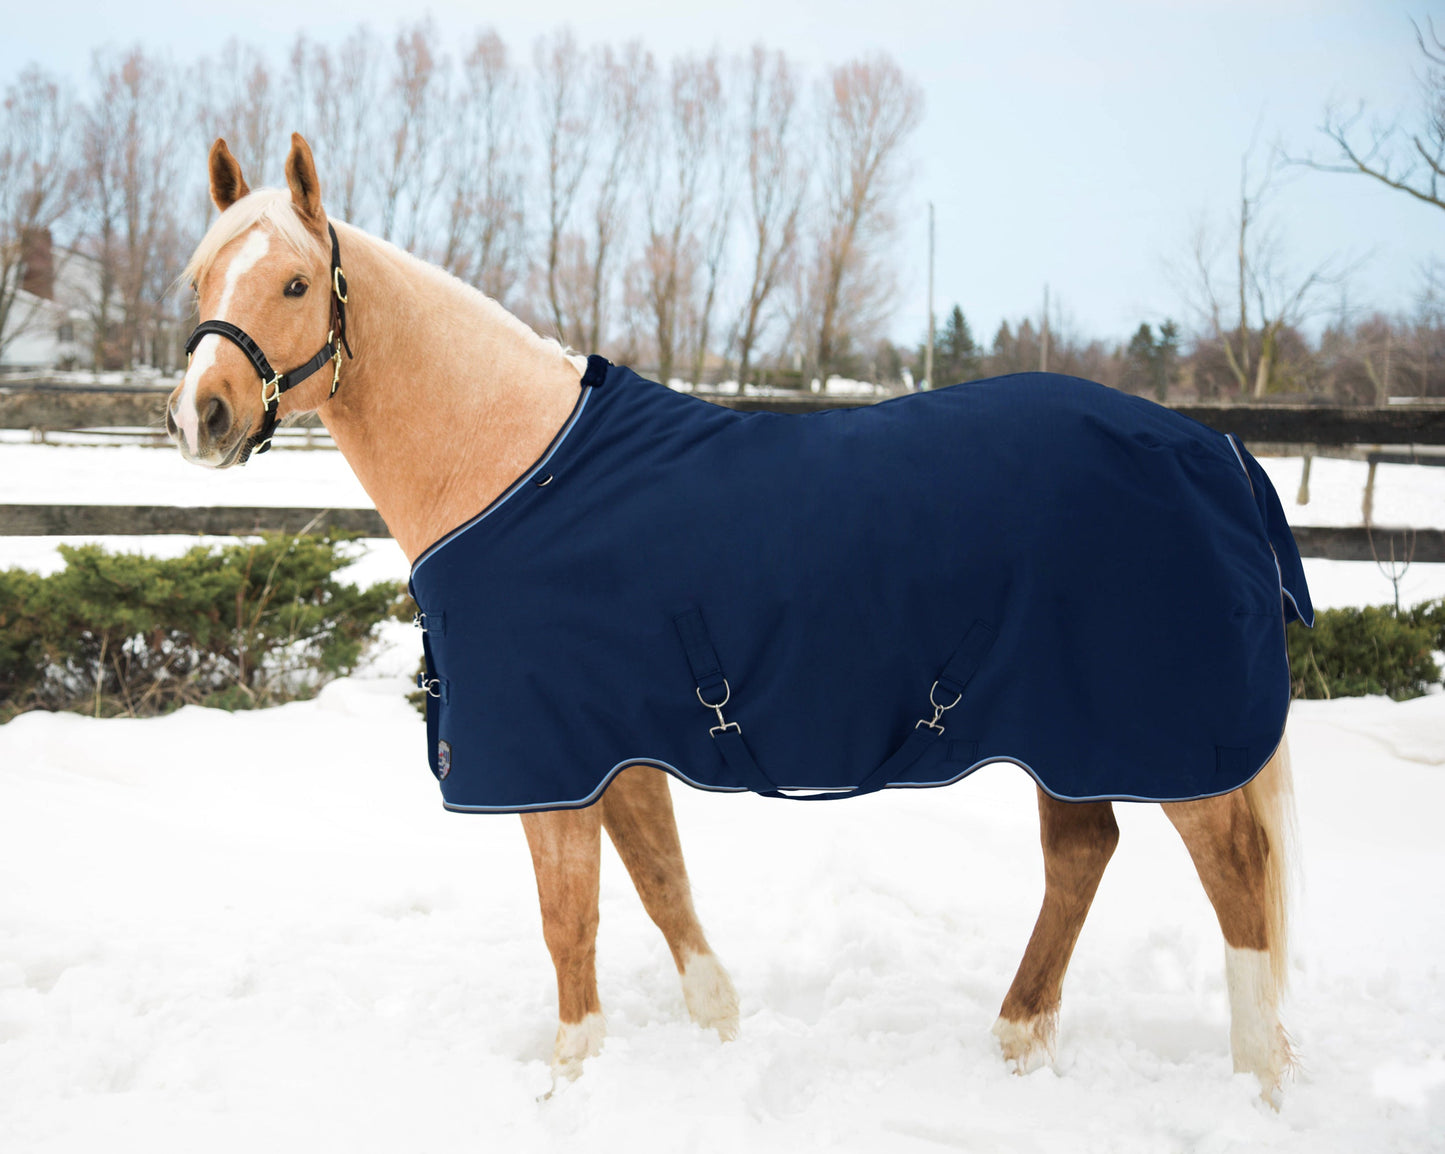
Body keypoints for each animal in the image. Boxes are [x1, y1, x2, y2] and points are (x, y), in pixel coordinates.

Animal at [166, 132, 1298, 1103]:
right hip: (1067, 732)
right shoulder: (613, 744)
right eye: (198, 279)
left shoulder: (549, 760)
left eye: (296, 282)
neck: (515, 468)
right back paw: (1017, 1040)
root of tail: (1215, 453)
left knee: (1234, 875)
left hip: (1162, 736)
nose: (200, 416)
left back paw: (1257, 1083)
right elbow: (661, 883)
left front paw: (569, 1078)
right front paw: (716, 1029)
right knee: (1081, 852)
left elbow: (568, 917)